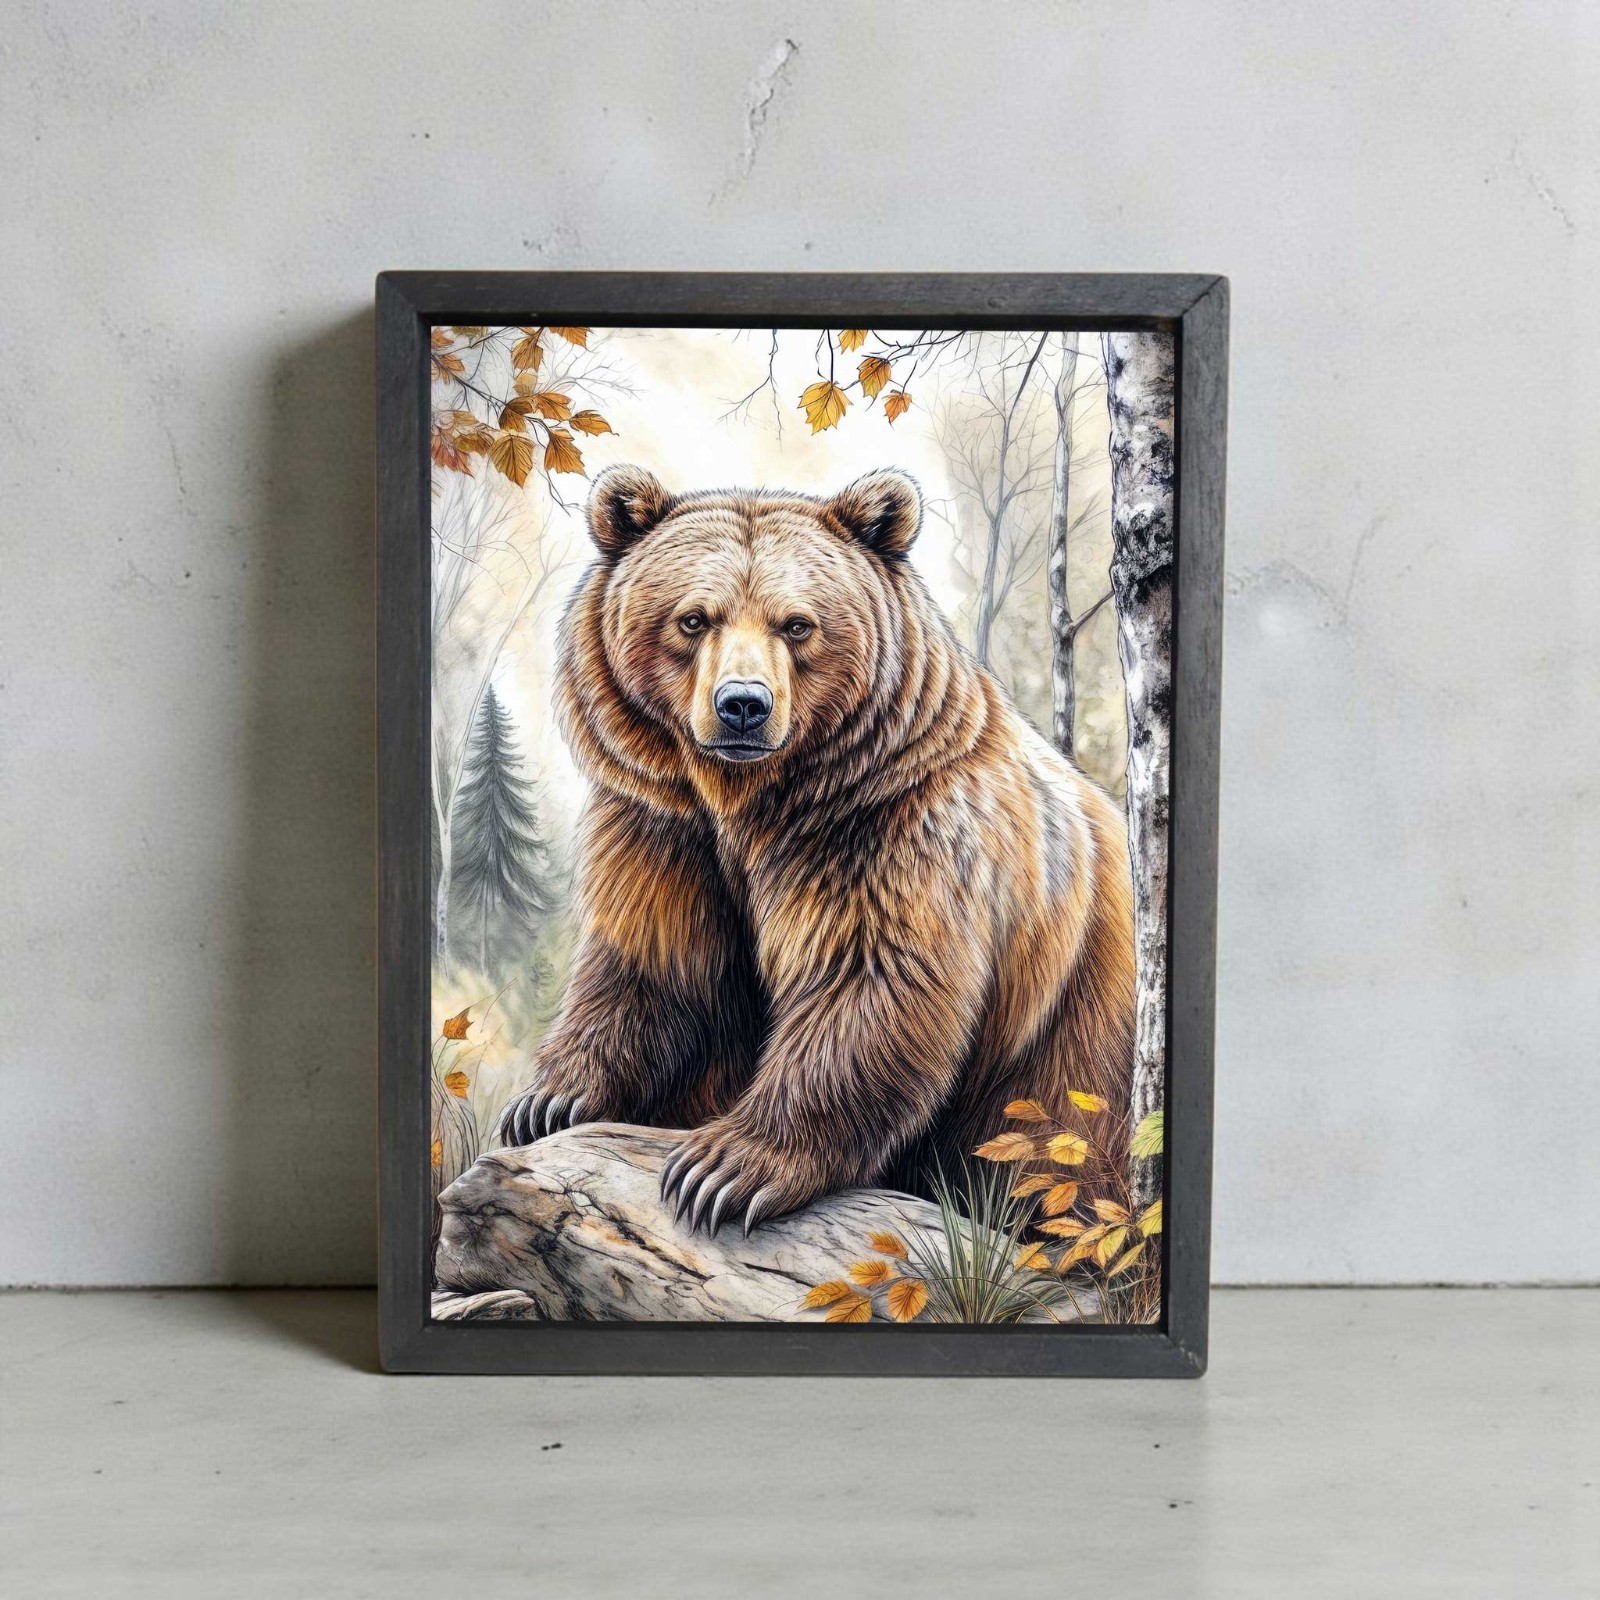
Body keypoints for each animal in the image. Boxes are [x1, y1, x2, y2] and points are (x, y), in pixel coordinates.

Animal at [496, 463, 1137, 1237]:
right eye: (693, 618)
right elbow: (653, 961)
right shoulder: (664, 830)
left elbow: (867, 982)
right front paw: (548, 1101)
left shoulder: (888, 834)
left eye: (796, 623)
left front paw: (723, 1168)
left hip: (1073, 1067)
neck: (755, 803)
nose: (743, 706)